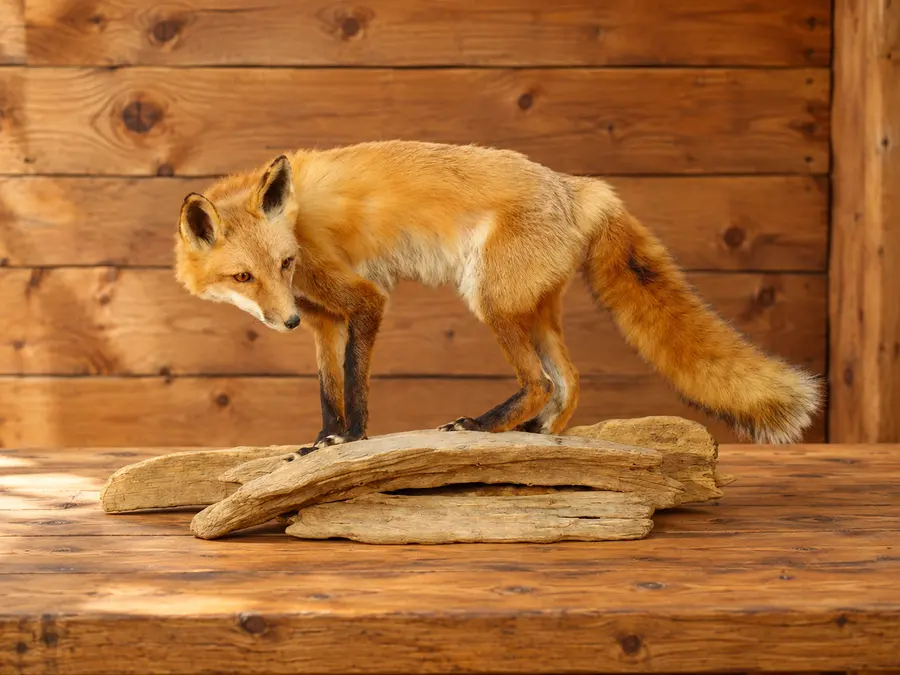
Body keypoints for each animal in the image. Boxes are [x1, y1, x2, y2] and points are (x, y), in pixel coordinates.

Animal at [174, 140, 822, 449]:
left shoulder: (362, 300)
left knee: (539, 382)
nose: (281, 322)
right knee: (569, 380)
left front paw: (351, 439)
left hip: (488, 298)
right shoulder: (321, 319)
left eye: (283, 264)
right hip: (534, 307)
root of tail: (577, 187)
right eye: (244, 277)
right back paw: (537, 437)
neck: (298, 227)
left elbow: (353, 386)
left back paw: (483, 428)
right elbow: (328, 389)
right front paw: (321, 440)